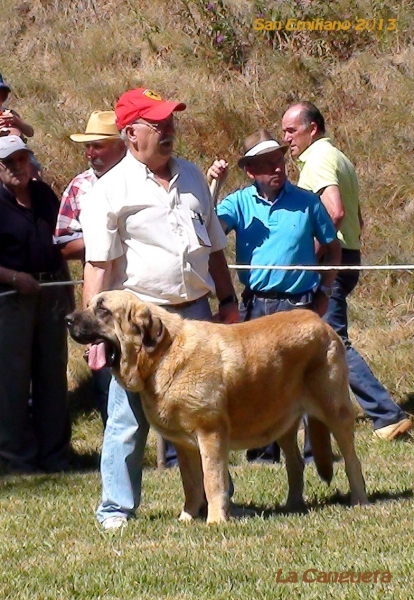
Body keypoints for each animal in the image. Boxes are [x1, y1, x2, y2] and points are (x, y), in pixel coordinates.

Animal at [68, 290, 368, 520]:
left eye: (103, 309)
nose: (67, 319)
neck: (163, 354)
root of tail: (320, 321)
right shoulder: (184, 444)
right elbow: (191, 484)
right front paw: (188, 517)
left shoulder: (210, 434)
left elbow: (212, 481)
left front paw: (215, 521)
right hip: (282, 424)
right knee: (295, 465)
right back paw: (292, 506)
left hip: (335, 411)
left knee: (352, 460)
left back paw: (360, 501)